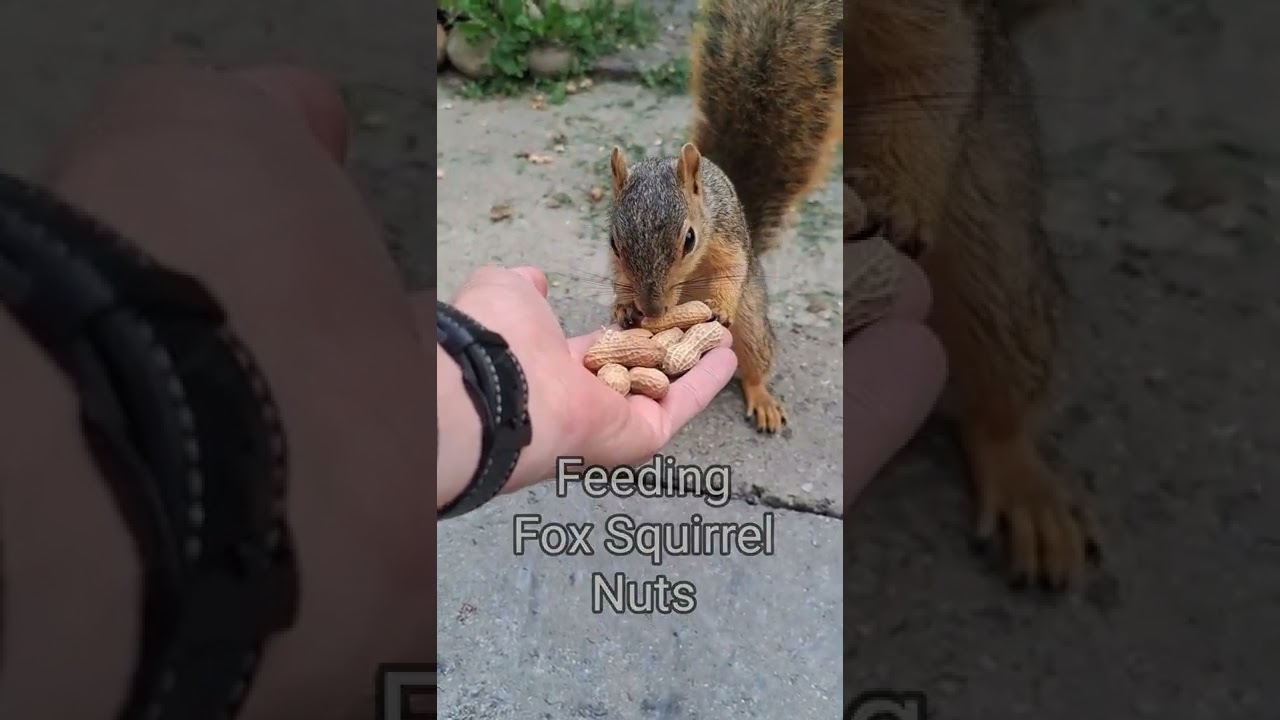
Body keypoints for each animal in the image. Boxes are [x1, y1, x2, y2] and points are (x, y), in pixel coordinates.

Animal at [606, 0, 842, 434]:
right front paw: (624, 307)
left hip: (752, 324)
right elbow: (618, 278)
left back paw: (762, 398)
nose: (652, 312)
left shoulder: (728, 237)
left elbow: (729, 270)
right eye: (615, 242)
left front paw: (717, 307)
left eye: (689, 240)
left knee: (754, 366)